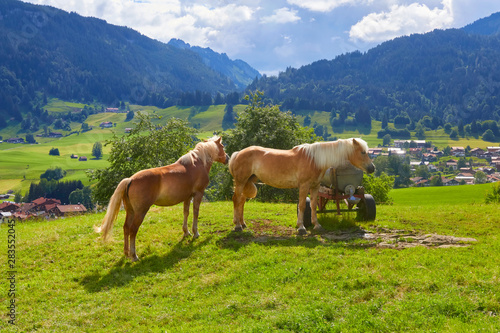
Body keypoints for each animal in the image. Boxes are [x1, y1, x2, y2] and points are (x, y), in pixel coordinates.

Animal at [95, 135, 229, 260]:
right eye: (222, 147)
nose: (227, 158)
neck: (198, 163)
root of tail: (131, 179)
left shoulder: (187, 197)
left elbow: (186, 213)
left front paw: (186, 232)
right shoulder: (198, 194)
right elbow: (196, 213)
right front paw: (195, 232)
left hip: (131, 211)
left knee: (126, 228)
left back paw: (126, 253)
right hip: (140, 212)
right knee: (133, 230)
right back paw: (134, 255)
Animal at [229, 137, 374, 233]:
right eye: (362, 152)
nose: (372, 168)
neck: (315, 159)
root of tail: (238, 153)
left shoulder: (315, 187)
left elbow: (314, 206)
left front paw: (317, 225)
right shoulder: (304, 186)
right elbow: (303, 206)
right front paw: (301, 227)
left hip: (247, 181)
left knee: (242, 201)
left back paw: (243, 224)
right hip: (241, 182)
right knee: (236, 200)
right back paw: (237, 226)